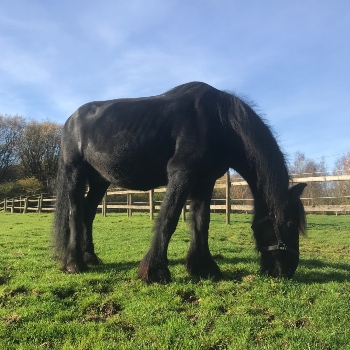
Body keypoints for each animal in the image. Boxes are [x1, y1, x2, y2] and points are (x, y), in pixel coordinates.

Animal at [52, 81, 306, 282]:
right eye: (290, 224)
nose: (287, 271)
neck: (219, 121)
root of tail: (70, 121)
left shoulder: (205, 180)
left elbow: (201, 222)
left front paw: (203, 267)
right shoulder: (182, 173)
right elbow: (169, 219)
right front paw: (154, 271)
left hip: (100, 181)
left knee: (87, 214)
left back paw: (90, 257)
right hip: (75, 172)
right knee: (75, 212)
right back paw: (74, 264)